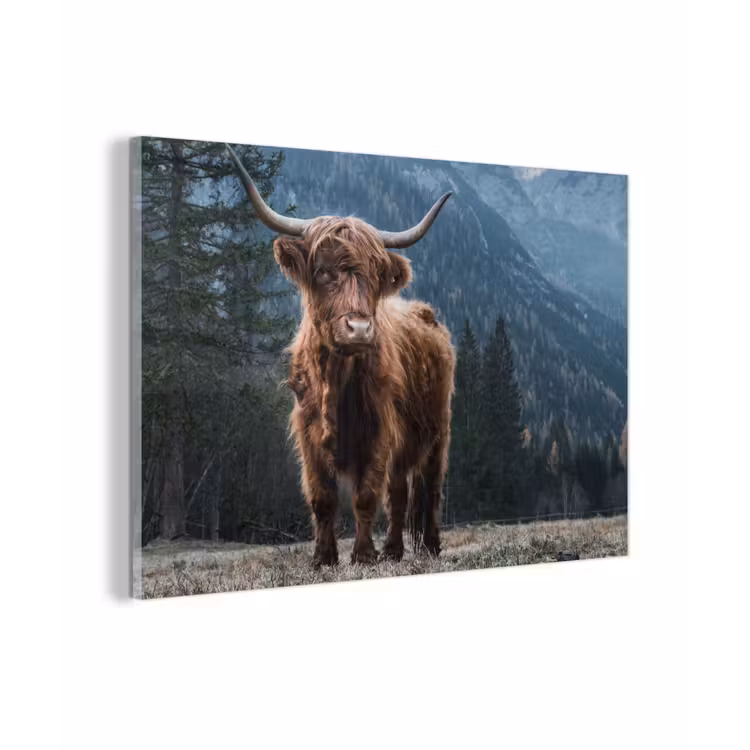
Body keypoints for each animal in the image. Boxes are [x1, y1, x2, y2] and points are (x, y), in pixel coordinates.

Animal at [227, 144, 455, 567]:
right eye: (322, 271)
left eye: (375, 274)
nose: (360, 329)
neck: (336, 379)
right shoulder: (308, 432)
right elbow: (322, 498)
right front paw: (323, 557)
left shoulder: (380, 430)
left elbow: (365, 496)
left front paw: (363, 555)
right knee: (399, 493)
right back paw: (394, 551)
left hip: (438, 432)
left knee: (428, 488)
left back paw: (428, 547)